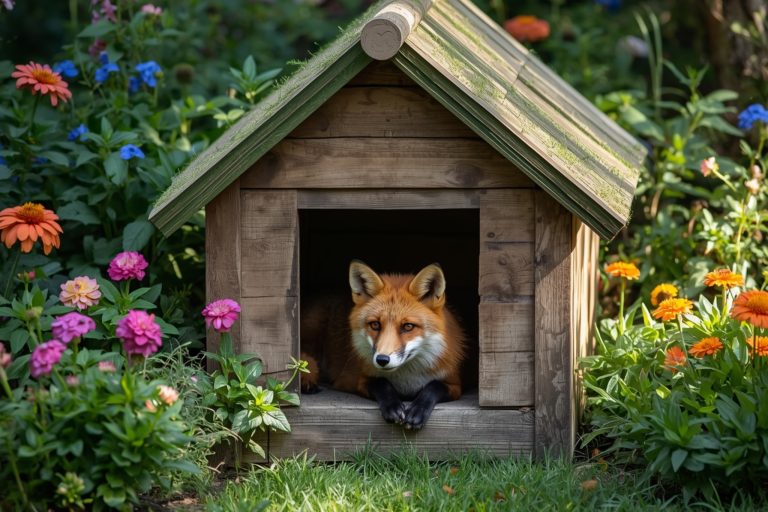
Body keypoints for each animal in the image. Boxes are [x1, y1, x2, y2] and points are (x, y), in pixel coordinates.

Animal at [300, 260, 466, 430]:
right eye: (375, 325)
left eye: (408, 326)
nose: (382, 360)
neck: (406, 381)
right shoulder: (356, 380)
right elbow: (381, 383)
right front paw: (392, 406)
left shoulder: (455, 385)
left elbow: (433, 387)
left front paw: (417, 410)